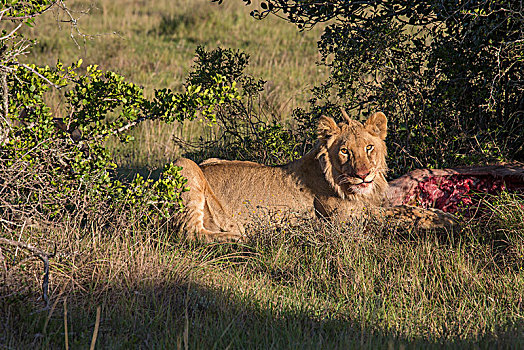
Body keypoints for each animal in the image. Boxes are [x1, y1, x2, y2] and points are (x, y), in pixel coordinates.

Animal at [175, 110, 454, 242]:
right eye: (344, 151)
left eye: (368, 148)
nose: (363, 175)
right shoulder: (346, 220)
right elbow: (402, 213)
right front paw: (447, 220)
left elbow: (403, 206)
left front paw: (442, 212)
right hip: (185, 164)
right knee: (190, 234)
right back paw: (245, 237)